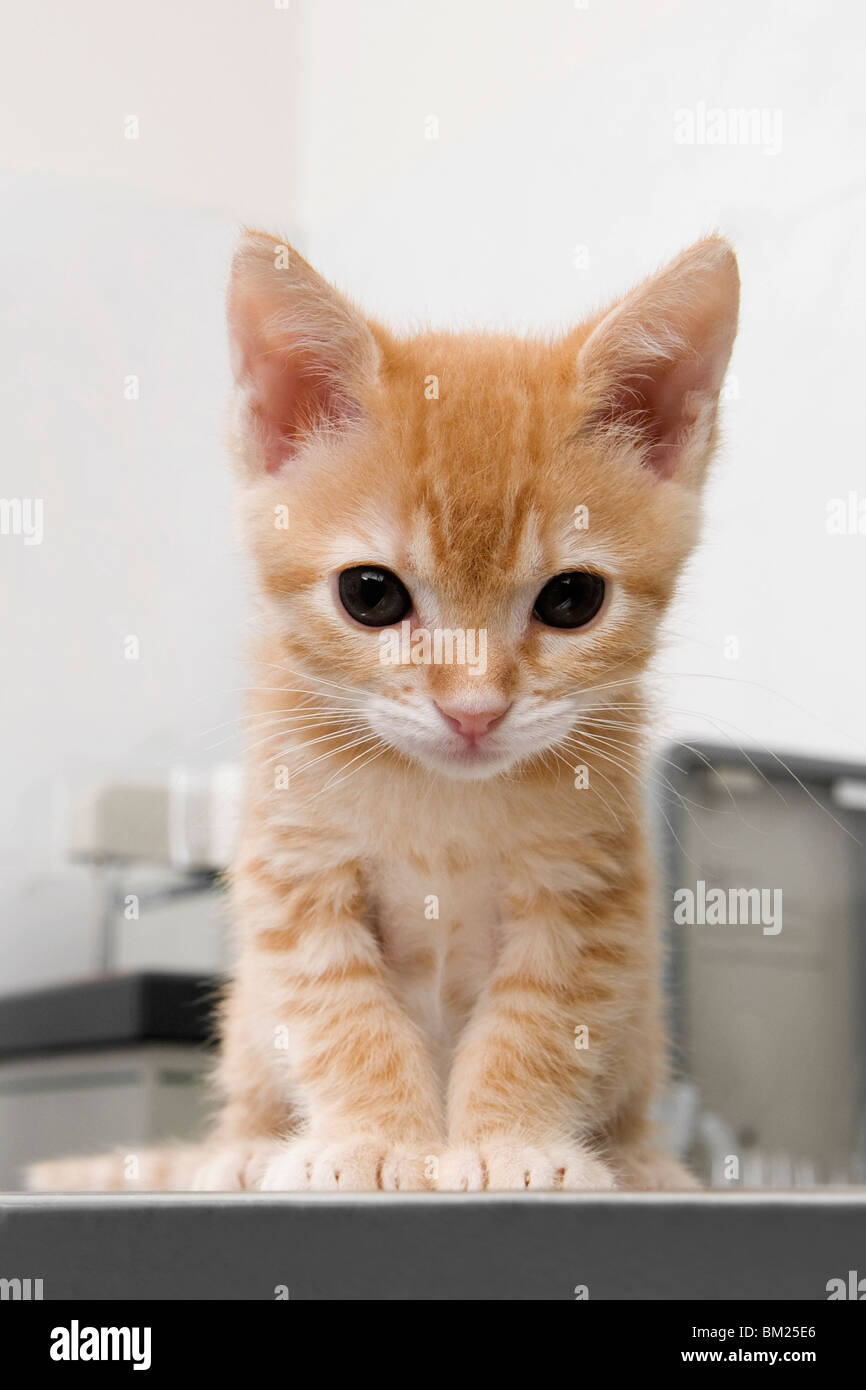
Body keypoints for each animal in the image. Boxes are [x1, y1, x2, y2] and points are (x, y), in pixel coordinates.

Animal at [33, 233, 739, 1189]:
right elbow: (341, 1014)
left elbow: (541, 1021)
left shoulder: (589, 892)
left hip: (639, 1029)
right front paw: (375, 1142)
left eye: (571, 600)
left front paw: (511, 1141)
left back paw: (642, 1159)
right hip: (248, 1020)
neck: (440, 802)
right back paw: (246, 1150)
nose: (475, 712)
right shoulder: (297, 876)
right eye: (371, 595)